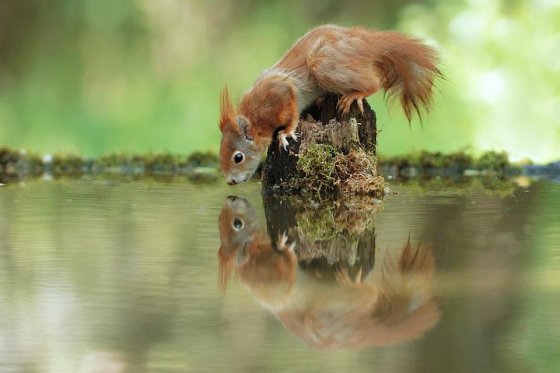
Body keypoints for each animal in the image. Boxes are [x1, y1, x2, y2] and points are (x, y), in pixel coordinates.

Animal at [219, 24, 442, 184]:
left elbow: (292, 111)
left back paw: (356, 94)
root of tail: (364, 40)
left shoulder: (281, 91)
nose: (230, 182)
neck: (256, 118)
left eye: (238, 157)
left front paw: (286, 133)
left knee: (374, 82)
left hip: (324, 64)